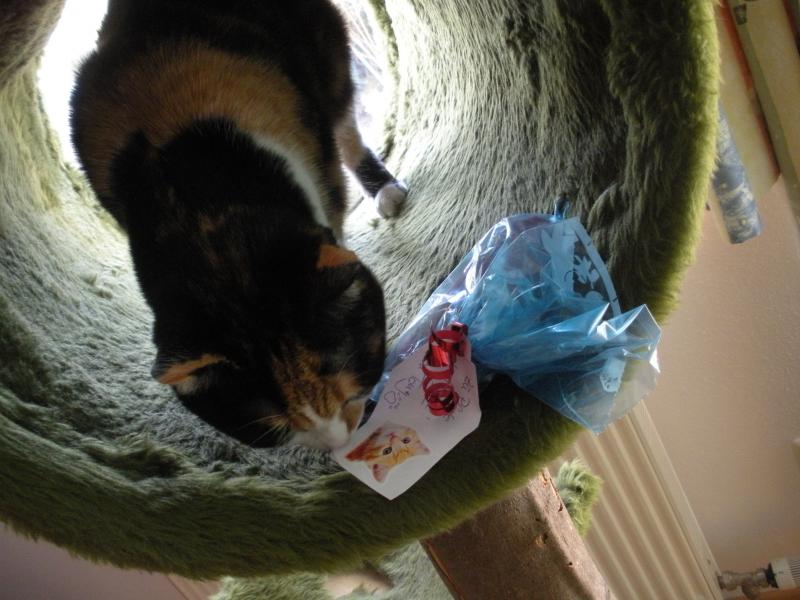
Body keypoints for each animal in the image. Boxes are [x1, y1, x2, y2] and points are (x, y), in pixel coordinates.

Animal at [70, 0, 408, 449]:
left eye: (349, 389)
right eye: (278, 428)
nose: (336, 443)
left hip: (329, 58)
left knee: (345, 125)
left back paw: (387, 192)